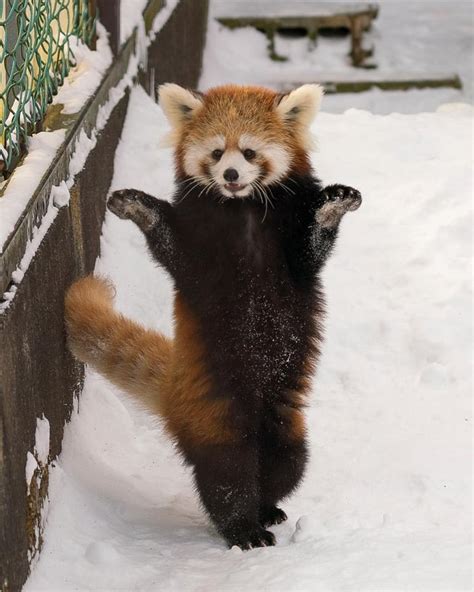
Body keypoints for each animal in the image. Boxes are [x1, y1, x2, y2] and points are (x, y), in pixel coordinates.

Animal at [65, 83, 362, 552]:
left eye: (250, 152)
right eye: (218, 152)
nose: (231, 176)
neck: (242, 211)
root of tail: (174, 394)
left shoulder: (292, 250)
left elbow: (312, 248)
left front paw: (333, 206)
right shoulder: (200, 249)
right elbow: (176, 252)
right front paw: (140, 208)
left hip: (285, 424)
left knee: (286, 465)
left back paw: (267, 508)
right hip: (215, 409)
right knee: (228, 473)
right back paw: (243, 529)